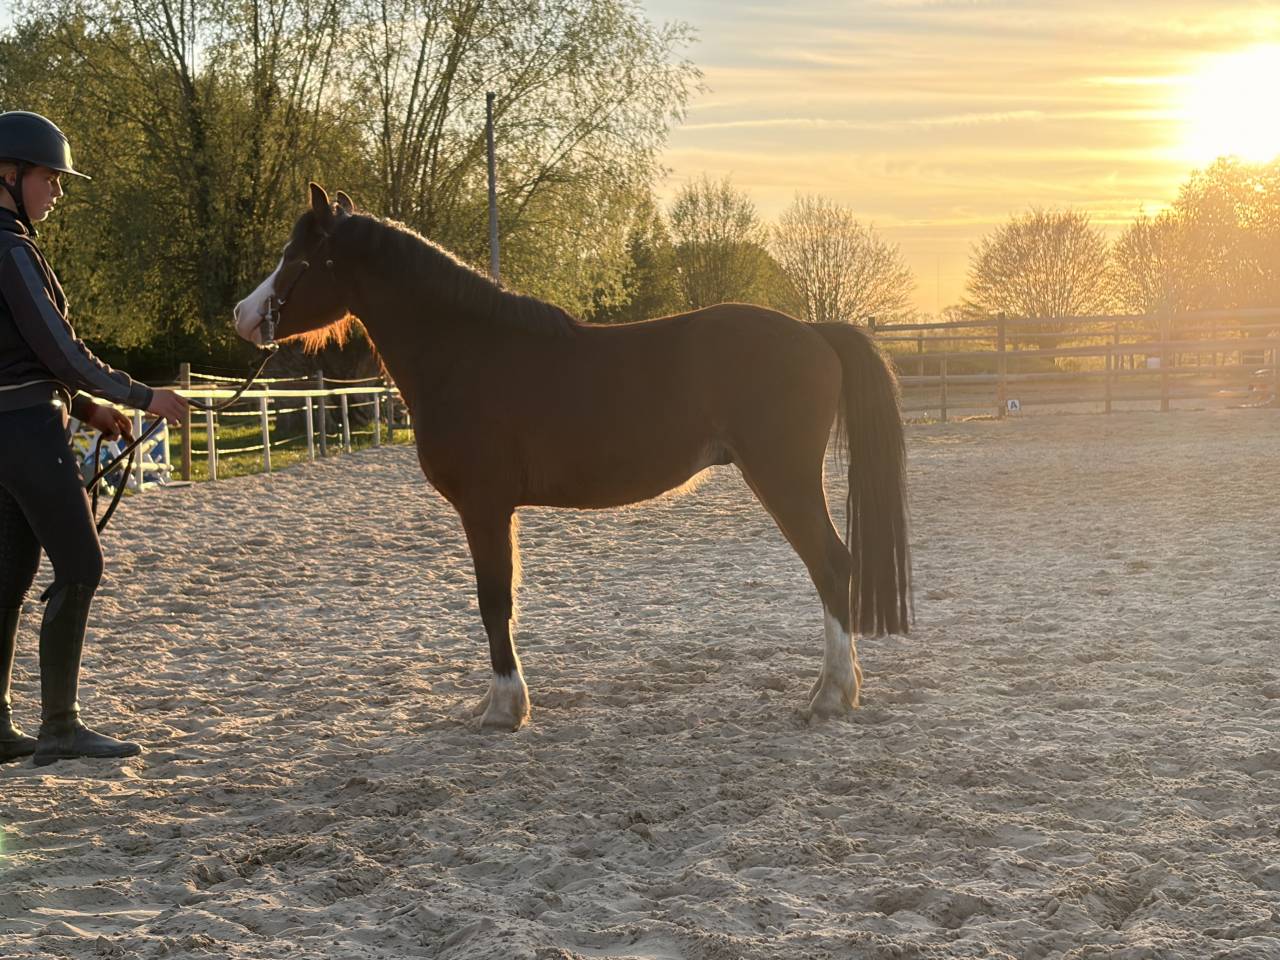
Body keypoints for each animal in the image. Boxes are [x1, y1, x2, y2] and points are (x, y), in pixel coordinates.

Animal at [233, 183, 911, 731]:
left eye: (297, 258)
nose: (242, 315)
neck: (467, 352)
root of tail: (815, 331)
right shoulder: (497, 509)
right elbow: (501, 603)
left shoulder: (483, 507)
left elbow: (493, 601)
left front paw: (505, 709)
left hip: (783, 477)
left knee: (832, 565)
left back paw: (830, 695)